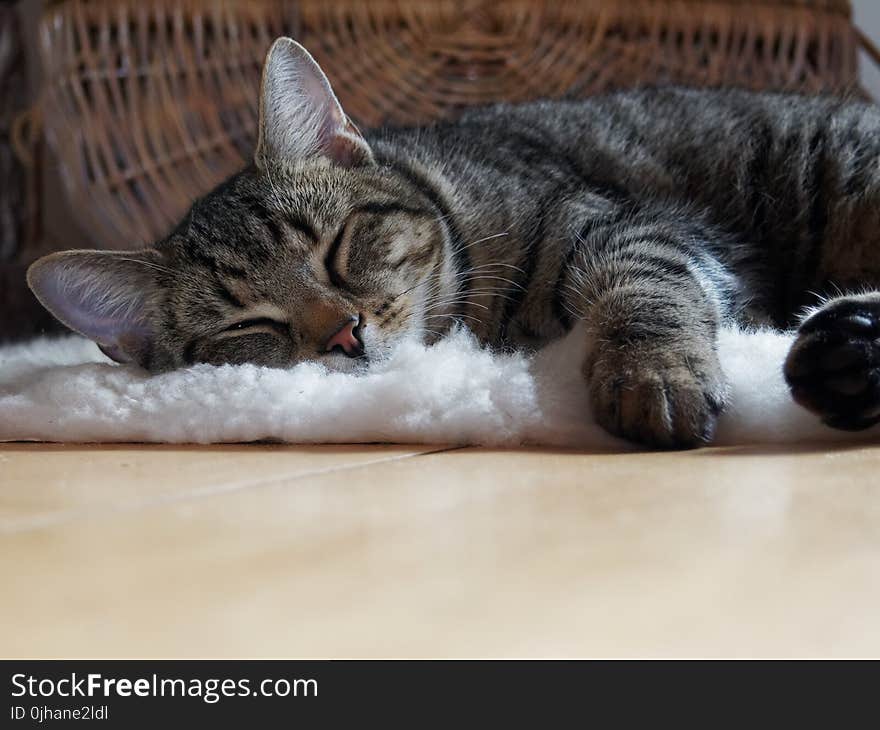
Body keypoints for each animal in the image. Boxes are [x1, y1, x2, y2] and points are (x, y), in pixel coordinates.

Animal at [24, 38, 880, 450]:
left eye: (337, 246)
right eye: (248, 324)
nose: (344, 334)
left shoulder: (631, 223)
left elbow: (643, 284)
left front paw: (651, 373)